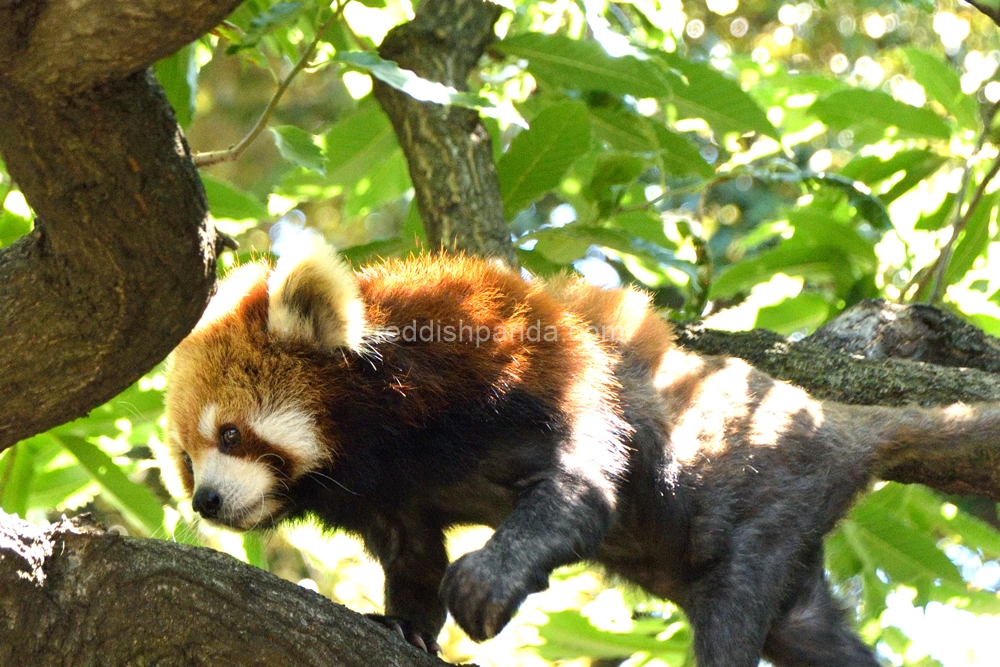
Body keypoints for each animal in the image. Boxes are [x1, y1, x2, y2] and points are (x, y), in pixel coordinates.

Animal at [164, 237, 1000, 664]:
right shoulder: (390, 494)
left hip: (766, 492)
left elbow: (583, 484)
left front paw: (488, 580)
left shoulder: (512, 362)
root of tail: (832, 417)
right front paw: (404, 623)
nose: (206, 499)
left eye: (230, 433)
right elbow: (412, 557)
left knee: (737, 603)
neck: (383, 439)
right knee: (811, 635)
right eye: (187, 458)